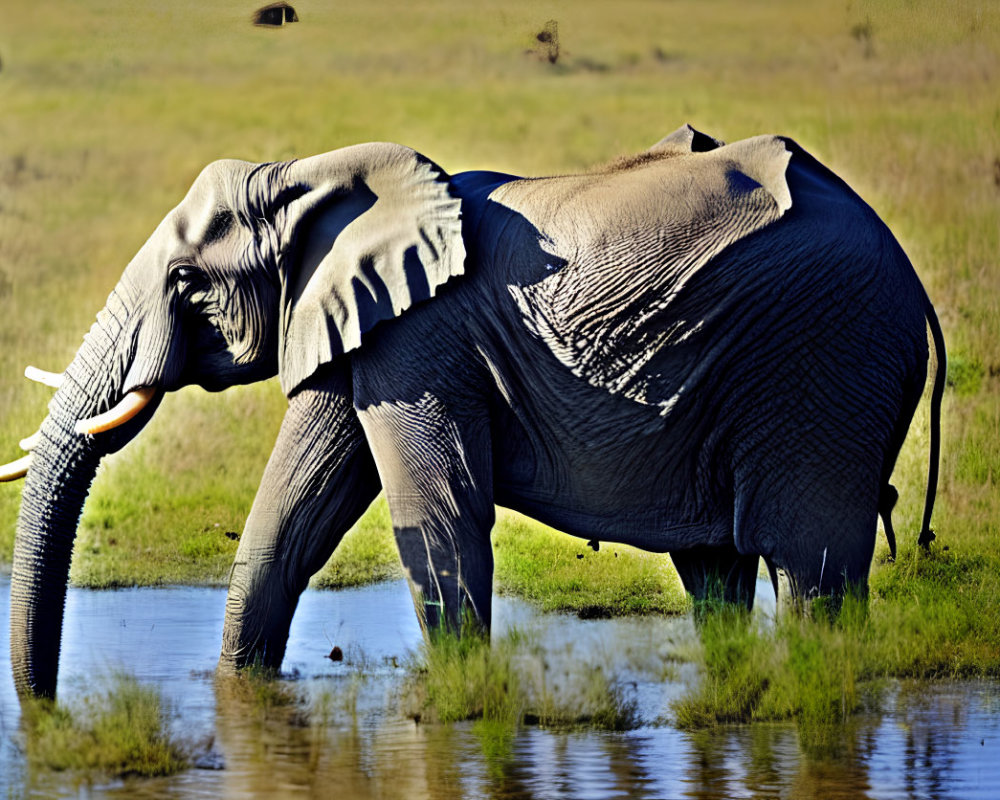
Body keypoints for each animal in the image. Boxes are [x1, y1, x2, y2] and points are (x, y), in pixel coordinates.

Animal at [1, 122, 944, 696]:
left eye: (188, 283)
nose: (44, 711)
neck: (315, 173)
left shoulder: (421, 340)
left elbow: (440, 513)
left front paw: (460, 705)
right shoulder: (363, 325)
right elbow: (292, 517)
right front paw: (240, 697)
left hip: (826, 364)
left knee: (811, 569)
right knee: (716, 569)